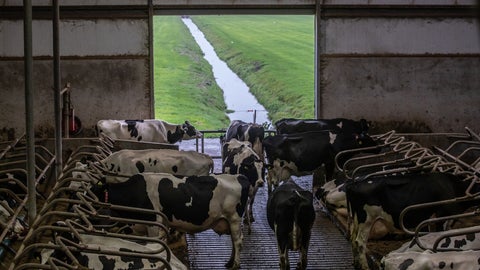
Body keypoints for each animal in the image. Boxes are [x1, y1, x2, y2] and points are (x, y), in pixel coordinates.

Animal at [94, 173, 251, 270]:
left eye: (93, 192)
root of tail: (240, 176)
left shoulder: (153, 222)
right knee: (234, 240)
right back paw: (229, 262)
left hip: (234, 217)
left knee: (237, 241)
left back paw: (235, 265)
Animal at [346, 172, 478, 268]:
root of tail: (353, 185)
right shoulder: (441, 216)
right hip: (367, 219)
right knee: (360, 242)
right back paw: (364, 266)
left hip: (357, 219)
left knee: (353, 239)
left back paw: (356, 263)